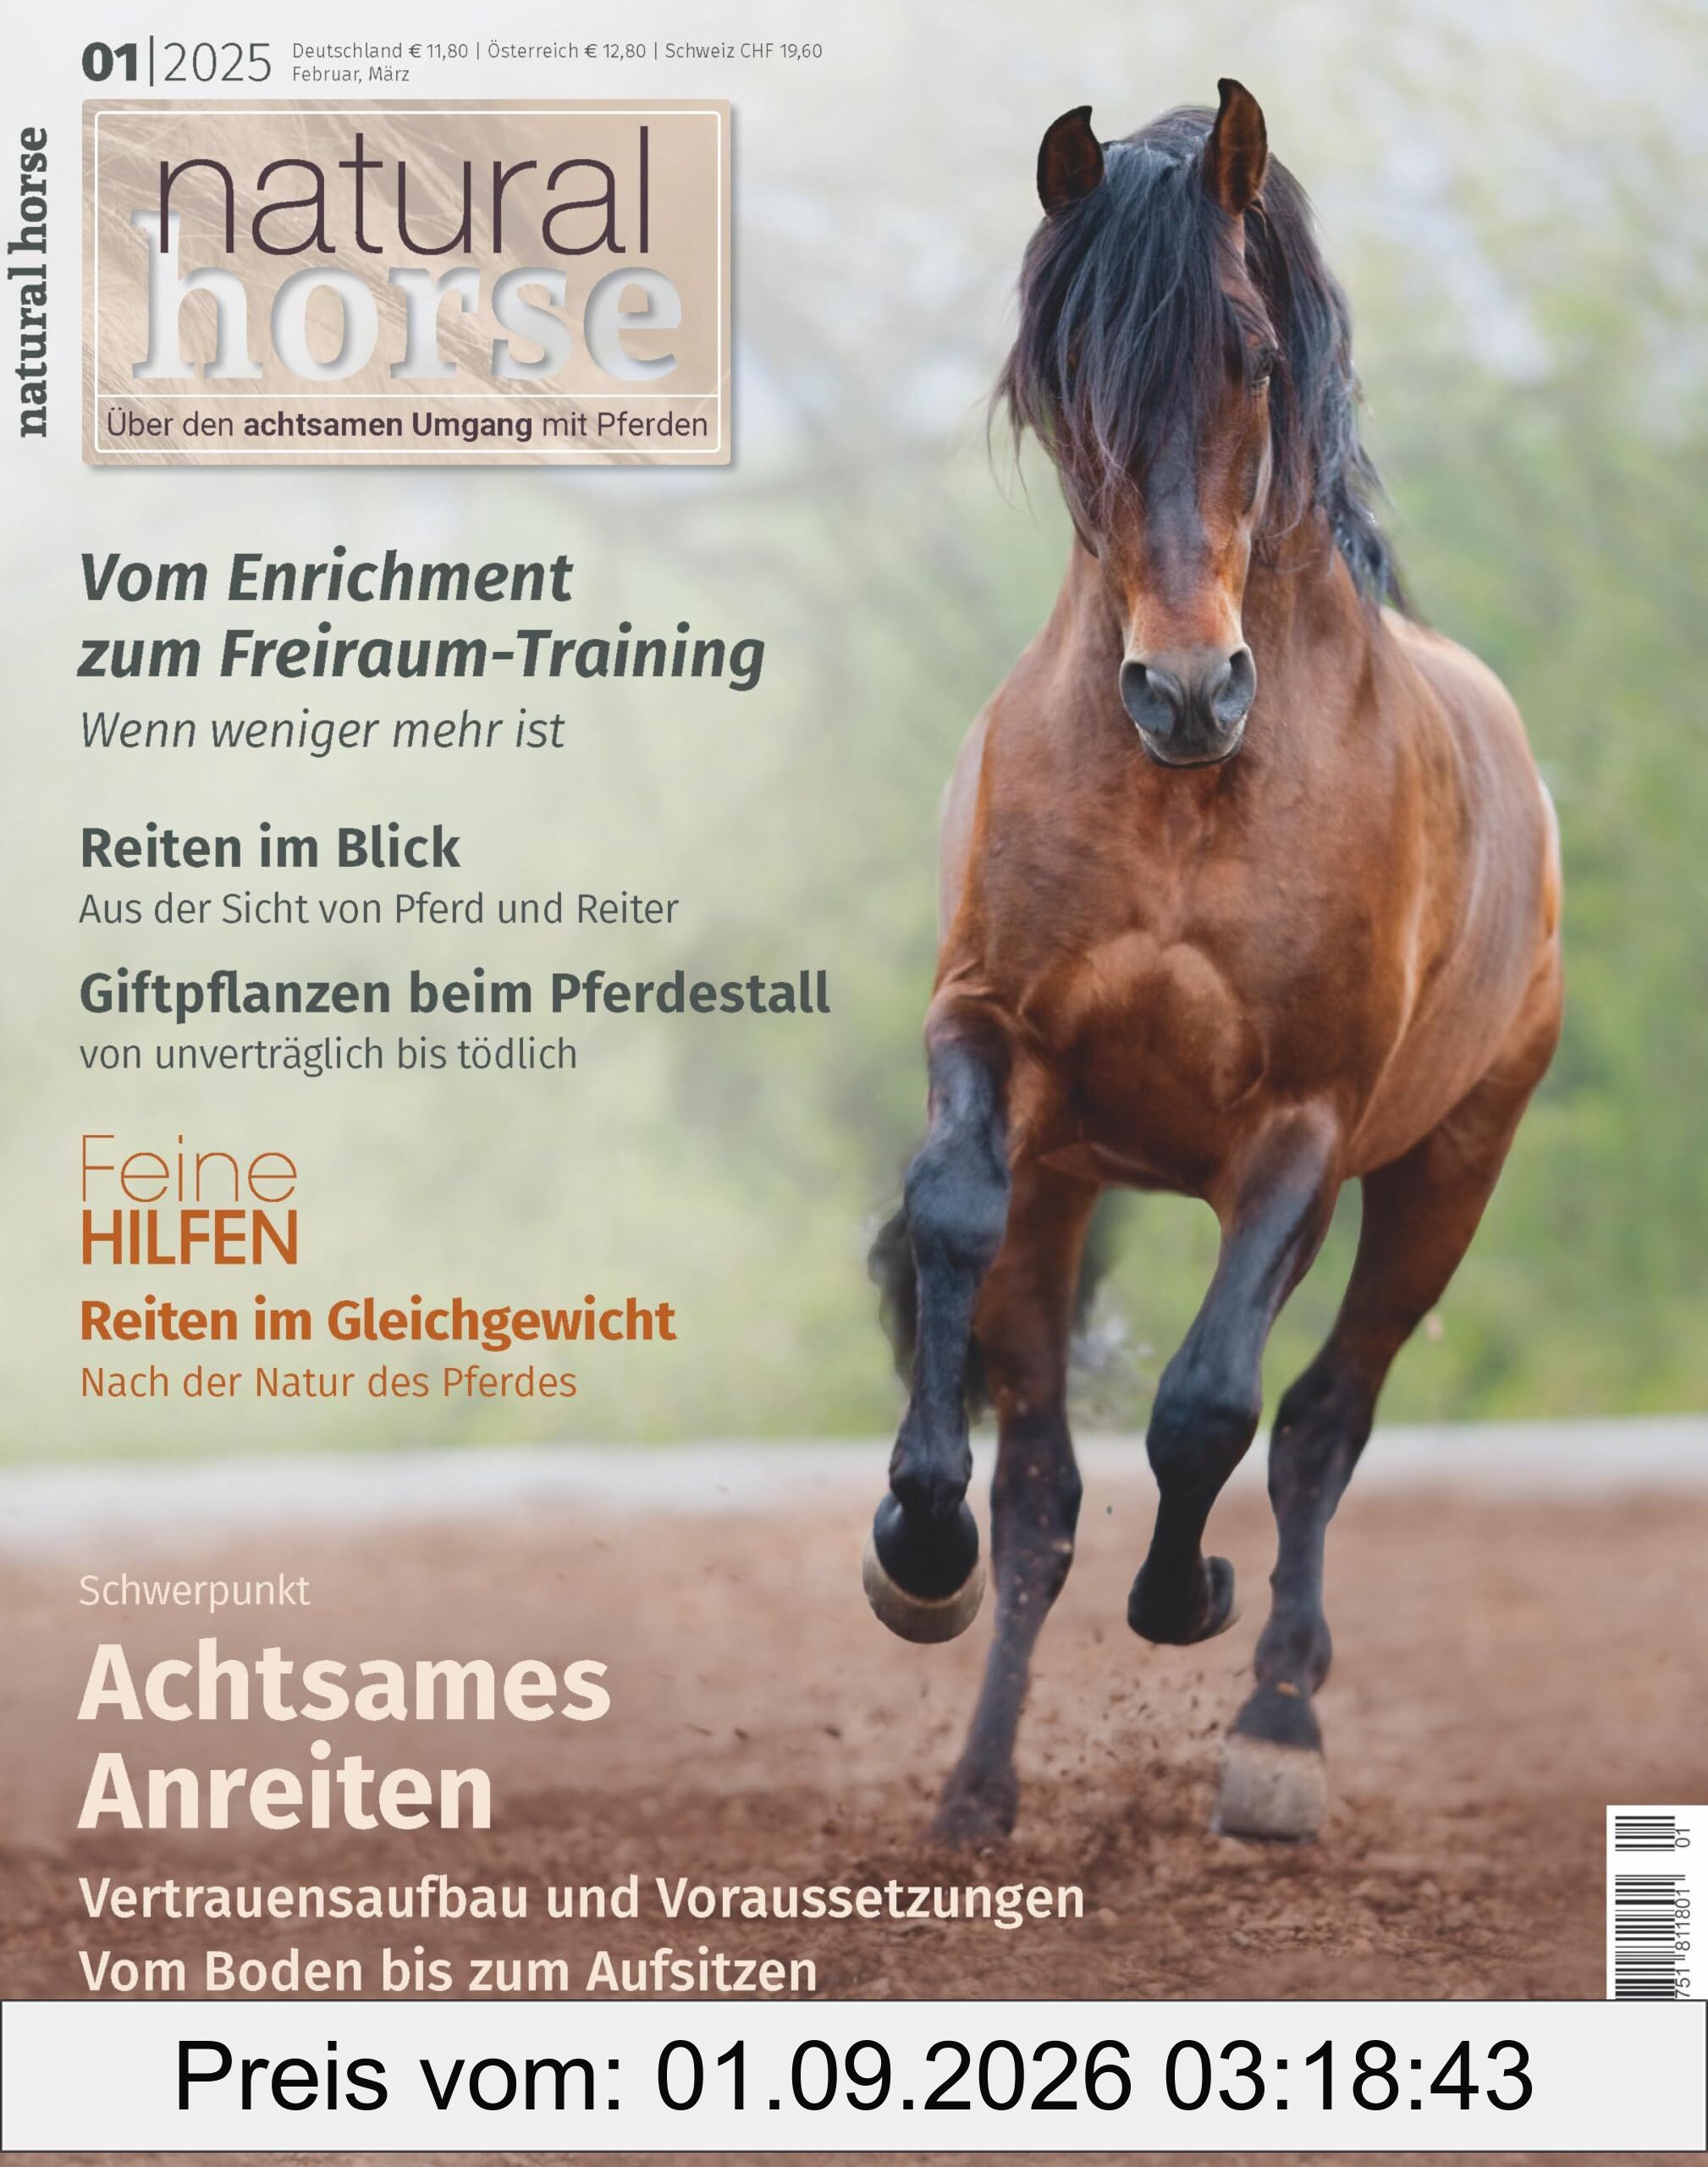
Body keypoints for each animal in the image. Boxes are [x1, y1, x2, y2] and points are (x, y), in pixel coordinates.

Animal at [863, 81, 1563, 1849]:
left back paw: (1273, 1730)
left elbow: (1205, 1405)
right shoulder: (991, 1043)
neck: (1189, 802)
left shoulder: (1299, 1131)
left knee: (1321, 1422)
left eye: (1247, 356)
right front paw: (913, 1548)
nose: (1186, 693)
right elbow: (951, 1228)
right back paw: (976, 1791)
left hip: (1450, 1166)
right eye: (1062, 380)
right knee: (1044, 1486)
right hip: (1075, 1182)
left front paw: (1189, 1604)